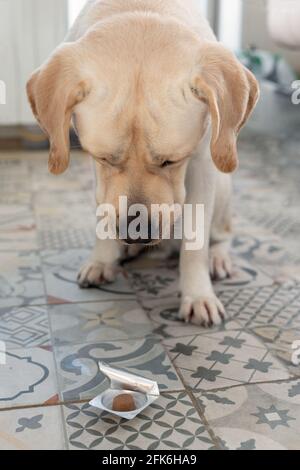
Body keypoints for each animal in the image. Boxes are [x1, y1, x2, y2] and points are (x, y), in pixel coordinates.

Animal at [27, 0, 258, 326]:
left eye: (171, 161)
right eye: (103, 158)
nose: (136, 232)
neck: (140, 10)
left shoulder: (202, 163)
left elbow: (196, 240)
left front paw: (198, 296)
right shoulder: (100, 178)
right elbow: (103, 211)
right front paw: (102, 258)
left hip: (223, 186)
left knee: (221, 234)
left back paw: (218, 257)